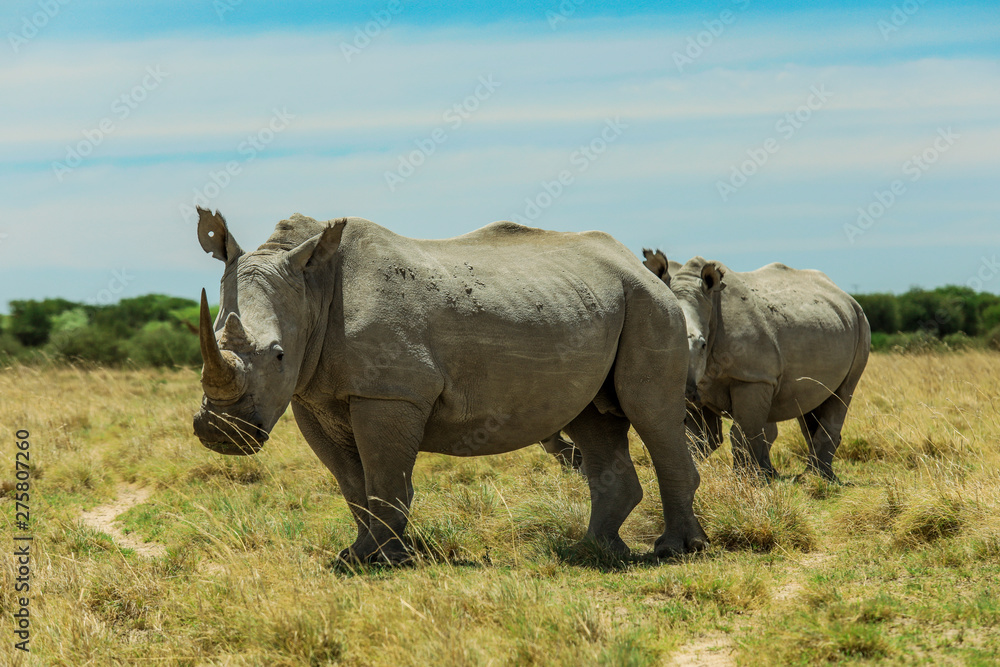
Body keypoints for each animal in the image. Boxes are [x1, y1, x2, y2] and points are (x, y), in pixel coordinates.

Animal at [191, 208, 708, 563]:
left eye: (278, 355)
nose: (221, 433)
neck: (311, 287)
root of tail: (635, 264)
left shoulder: (392, 392)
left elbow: (384, 480)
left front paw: (387, 560)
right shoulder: (311, 397)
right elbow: (352, 485)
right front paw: (357, 555)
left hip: (650, 303)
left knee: (650, 411)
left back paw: (676, 550)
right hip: (595, 301)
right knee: (591, 418)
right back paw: (595, 552)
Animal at [642, 250, 870, 482]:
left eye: (703, 344)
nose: (687, 393)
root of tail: (846, 296)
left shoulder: (754, 377)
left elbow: (744, 431)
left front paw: (747, 481)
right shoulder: (698, 383)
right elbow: (697, 437)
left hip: (862, 324)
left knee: (842, 393)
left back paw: (817, 478)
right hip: (829, 323)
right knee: (809, 404)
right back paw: (807, 475)